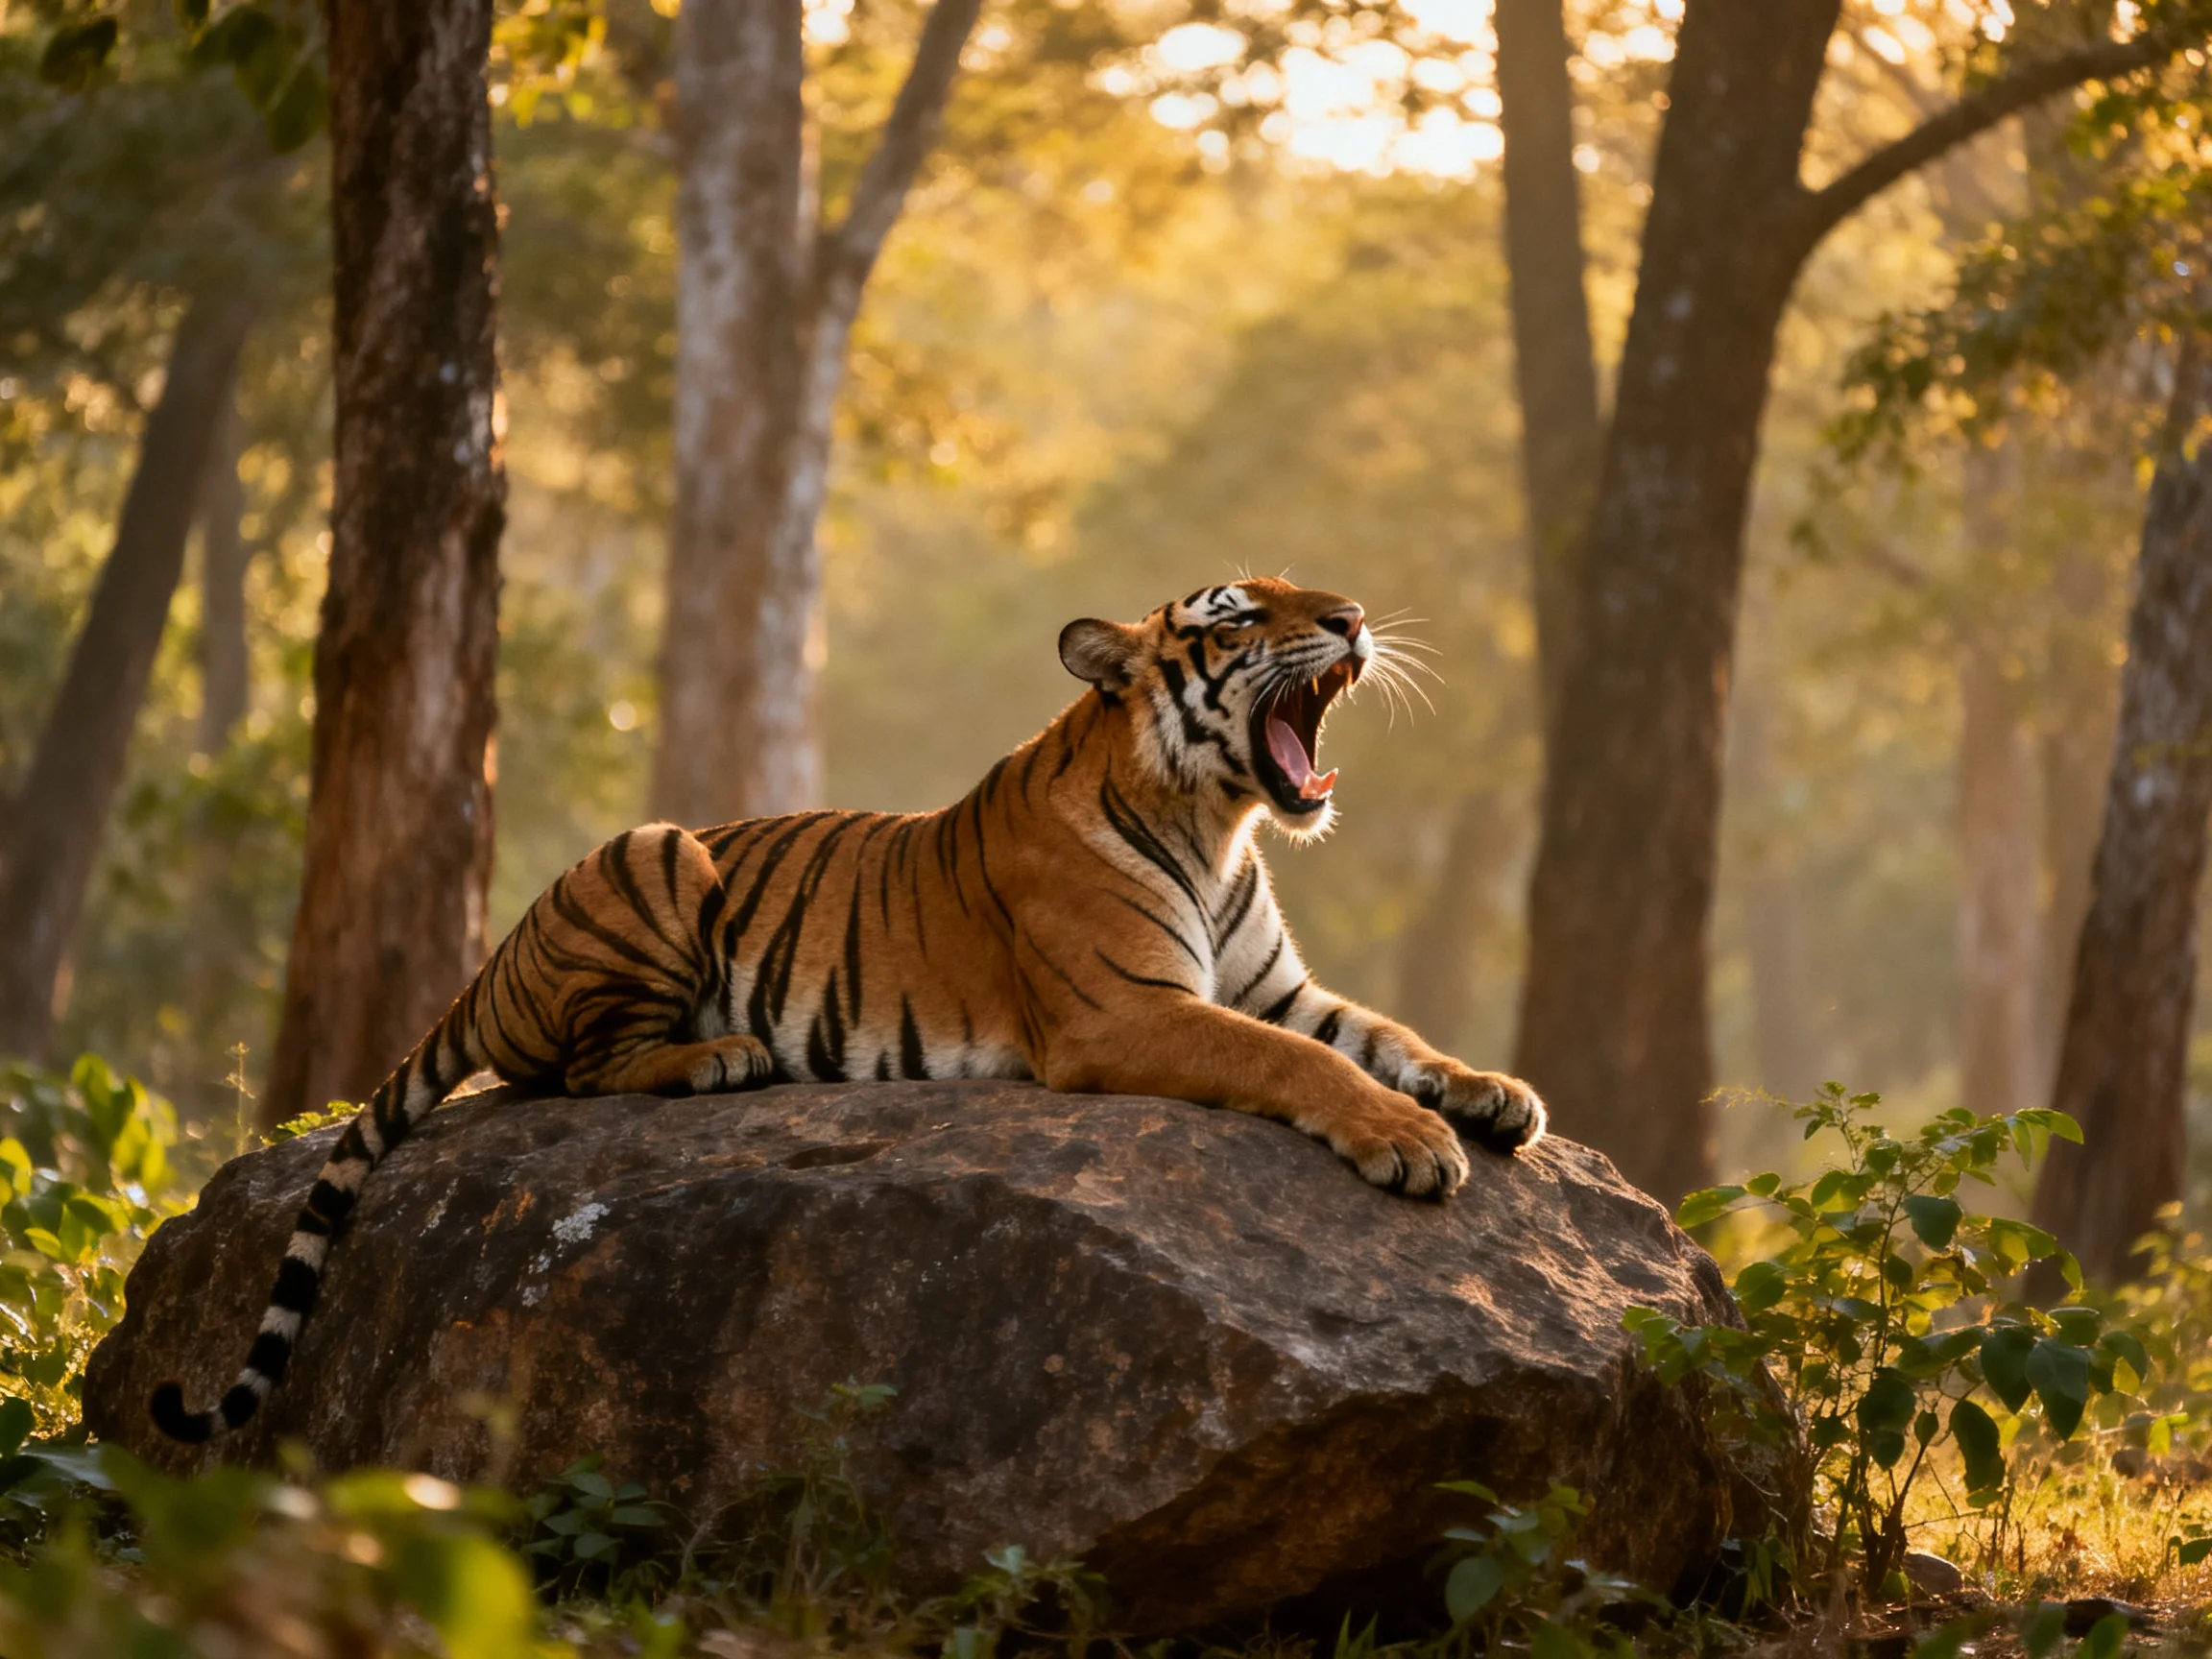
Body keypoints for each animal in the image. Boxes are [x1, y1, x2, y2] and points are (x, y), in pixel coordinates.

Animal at [152, 577, 1546, 1444]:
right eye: (1244, 612)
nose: (1354, 615)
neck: (1223, 823)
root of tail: (488, 964)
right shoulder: (1126, 1010)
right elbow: (1303, 1069)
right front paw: (1414, 1144)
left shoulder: (1278, 986)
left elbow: (1386, 1039)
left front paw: (1493, 1095)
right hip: (658, 854)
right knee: (578, 1070)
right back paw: (721, 1057)